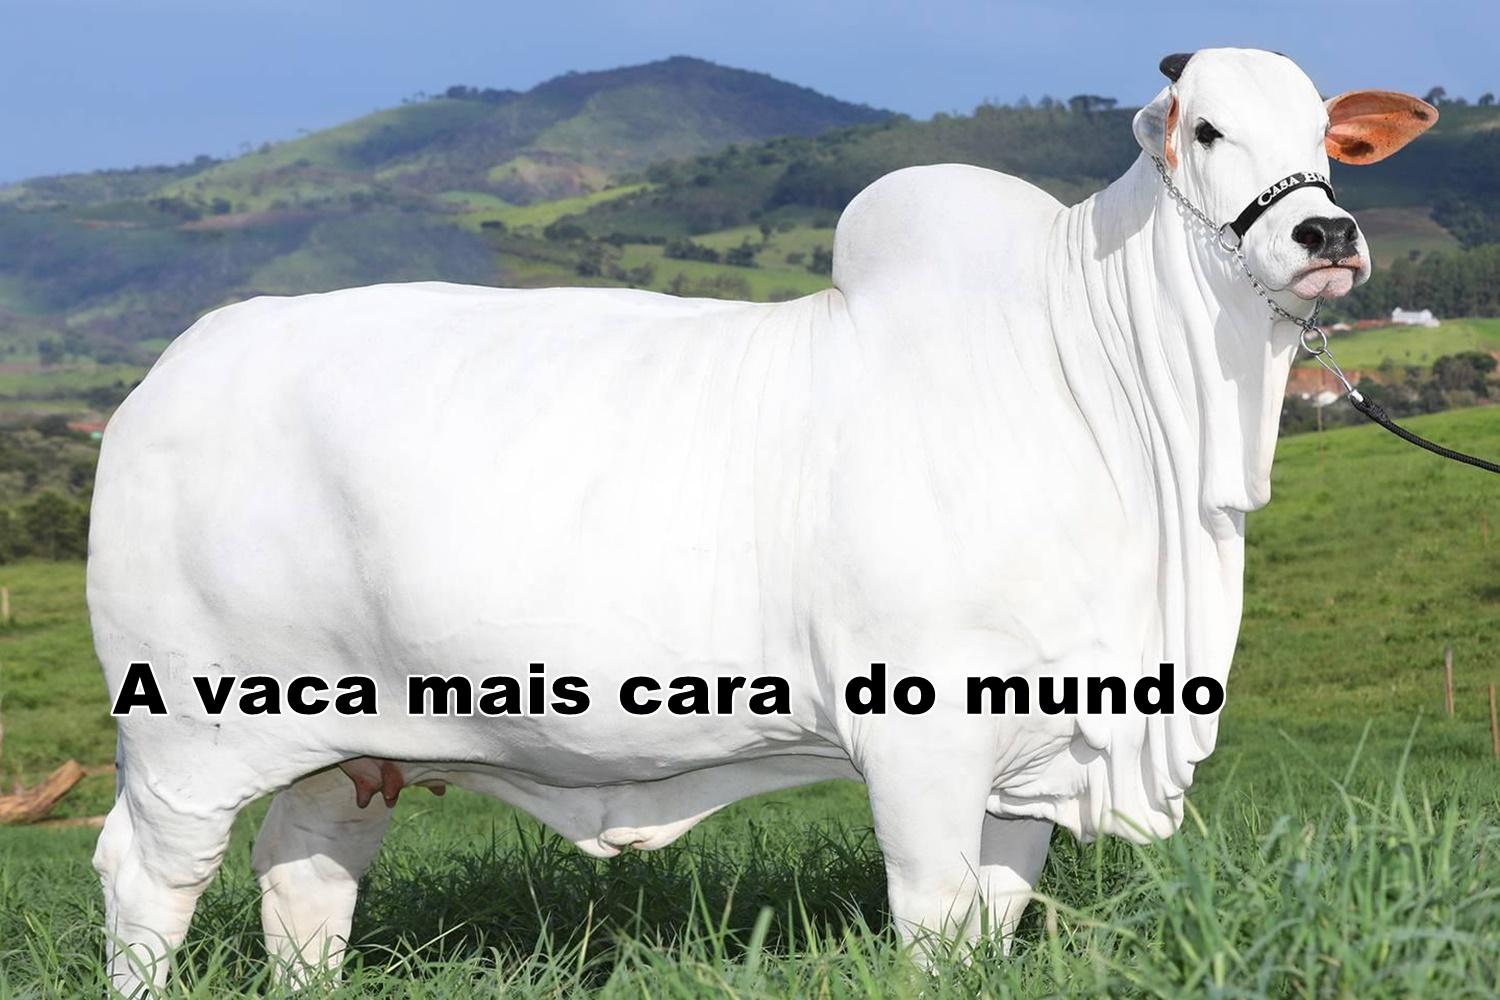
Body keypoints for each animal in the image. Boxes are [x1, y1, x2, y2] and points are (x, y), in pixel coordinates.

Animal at [88, 48, 1434, 992]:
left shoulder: (1032, 756)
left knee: (304, 876)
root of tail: (166, 378)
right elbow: (936, 923)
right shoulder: (923, 743)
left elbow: (993, 923)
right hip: (186, 738)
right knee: (144, 881)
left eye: (1328, 139)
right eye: (1206, 128)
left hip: (350, 746)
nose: (1326, 233)